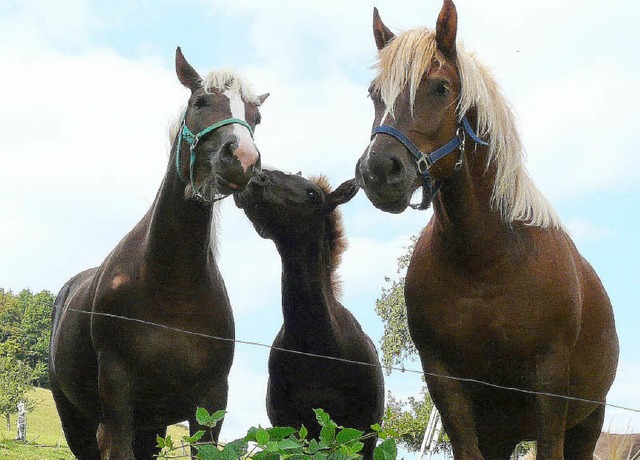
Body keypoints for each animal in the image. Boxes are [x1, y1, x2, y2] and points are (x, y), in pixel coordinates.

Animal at [49, 47, 268, 460]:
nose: (243, 159)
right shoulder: (118, 393)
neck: (170, 285)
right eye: (200, 103)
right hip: (77, 418)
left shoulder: (211, 400)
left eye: (256, 117)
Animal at [356, 1, 620, 458]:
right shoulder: (447, 385)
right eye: (375, 93)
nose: (379, 171)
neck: (485, 261)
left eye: (440, 88)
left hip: (587, 422)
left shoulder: (550, 384)